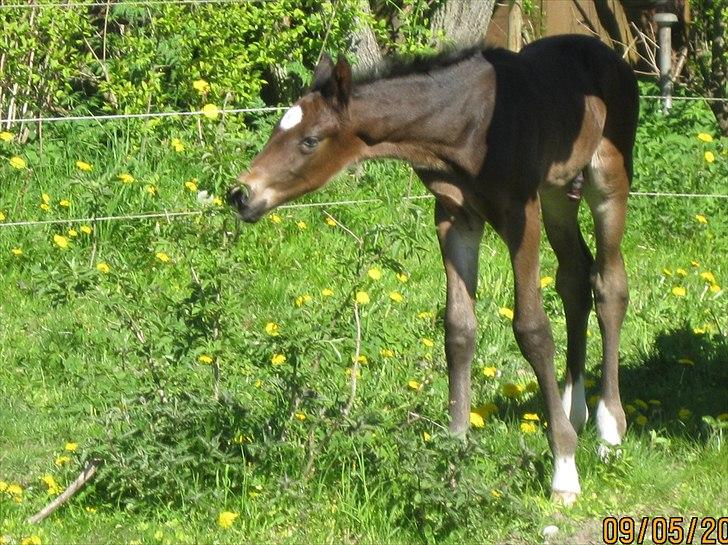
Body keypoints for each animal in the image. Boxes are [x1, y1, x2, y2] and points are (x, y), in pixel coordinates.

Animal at [228, 33, 636, 502]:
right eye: (278, 130)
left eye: (310, 140)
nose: (241, 194)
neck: (464, 125)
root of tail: (610, 55)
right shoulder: (454, 215)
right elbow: (458, 329)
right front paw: (453, 449)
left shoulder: (520, 213)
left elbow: (532, 329)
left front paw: (564, 468)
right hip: (557, 193)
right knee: (574, 277)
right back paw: (575, 408)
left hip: (607, 177)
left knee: (609, 283)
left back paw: (609, 430)